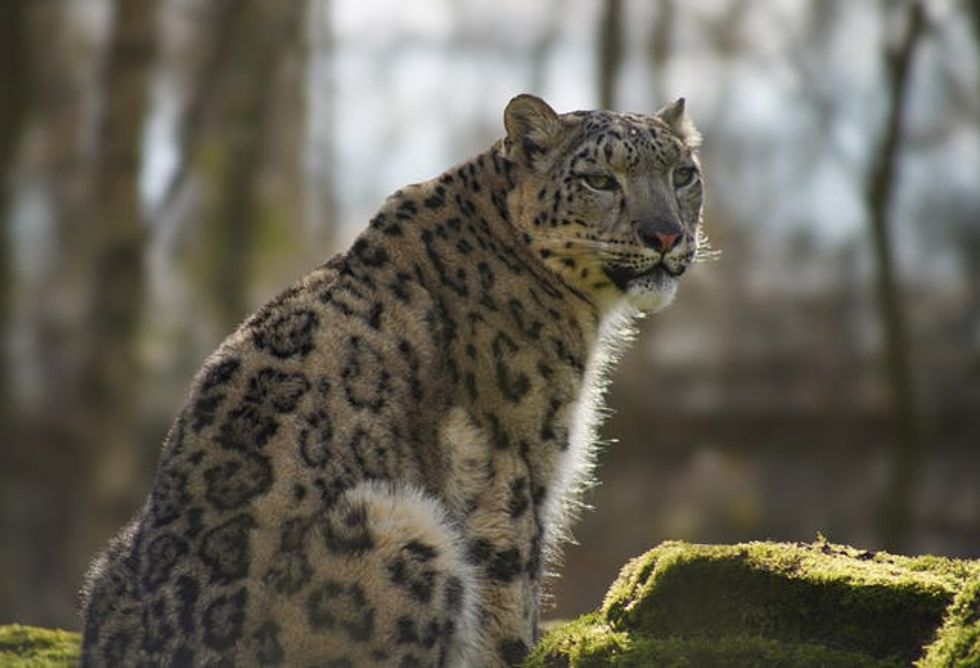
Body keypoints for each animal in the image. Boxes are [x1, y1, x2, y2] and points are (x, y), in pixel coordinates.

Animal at [79, 94, 705, 667]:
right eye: (599, 178)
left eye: (683, 173)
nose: (666, 236)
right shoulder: (512, 467)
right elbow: (511, 588)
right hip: (399, 528)